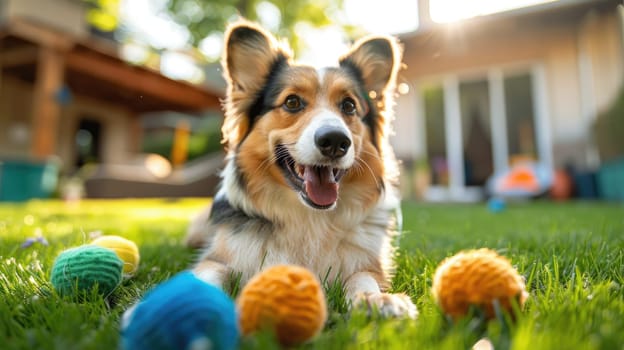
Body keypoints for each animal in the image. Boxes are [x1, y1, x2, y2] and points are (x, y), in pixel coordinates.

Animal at [188, 20, 416, 318]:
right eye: (292, 102)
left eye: (349, 106)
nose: (335, 141)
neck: (309, 218)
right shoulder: (218, 259)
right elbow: (208, 276)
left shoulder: (366, 264)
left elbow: (362, 278)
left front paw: (377, 300)